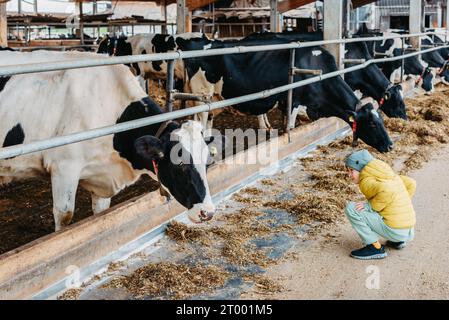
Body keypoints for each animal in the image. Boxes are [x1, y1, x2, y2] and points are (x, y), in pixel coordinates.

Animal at [0, 50, 219, 230]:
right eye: (179, 164)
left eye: (207, 162)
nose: (208, 212)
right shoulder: (63, 168)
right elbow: (64, 217)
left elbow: (100, 213)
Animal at [175, 35, 392, 153]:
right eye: (372, 123)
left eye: (381, 119)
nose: (390, 145)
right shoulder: (293, 100)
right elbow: (291, 126)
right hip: (202, 94)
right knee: (202, 117)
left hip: (212, 97)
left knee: (207, 119)